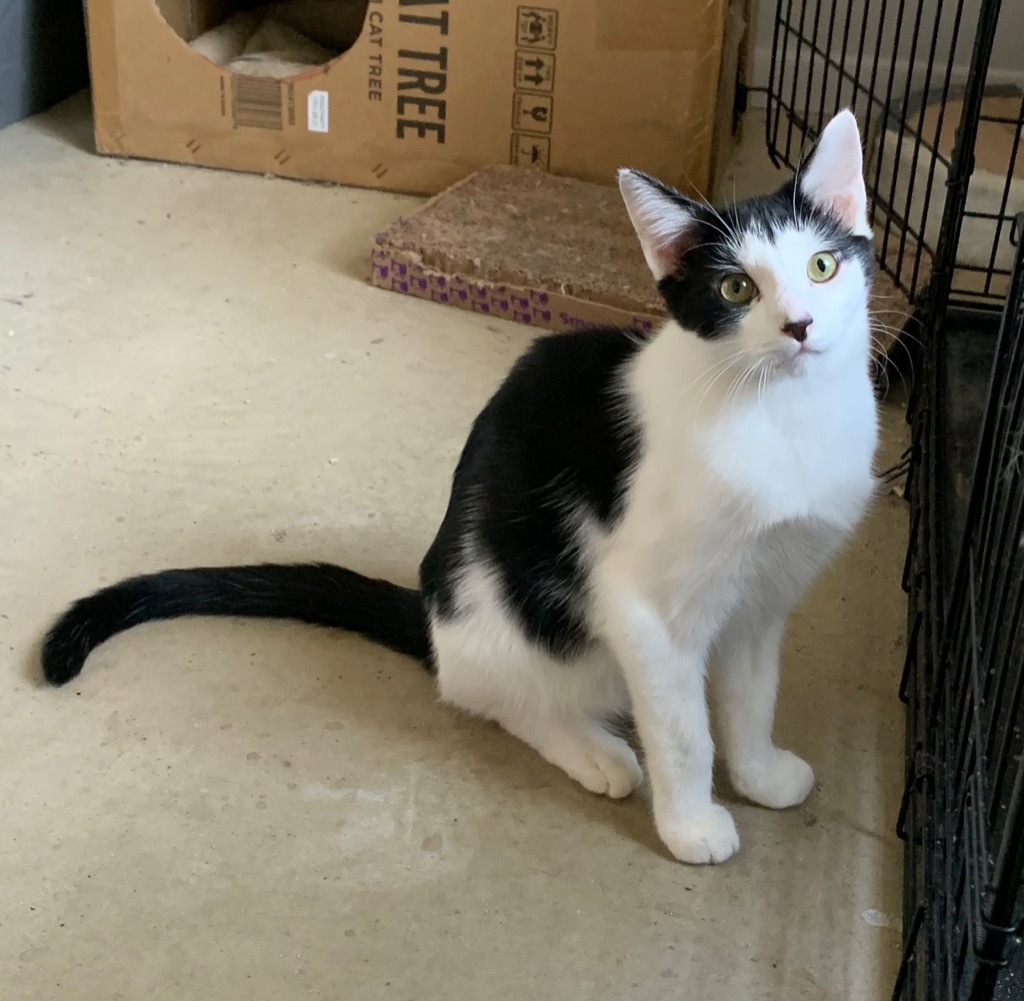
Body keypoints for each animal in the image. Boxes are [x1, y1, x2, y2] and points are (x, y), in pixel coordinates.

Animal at [41, 107, 880, 859]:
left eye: (822, 265)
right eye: (736, 289)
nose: (800, 325)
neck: (779, 415)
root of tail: (432, 611)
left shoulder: (763, 599)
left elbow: (751, 698)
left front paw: (761, 773)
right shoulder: (646, 610)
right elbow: (683, 730)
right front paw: (691, 826)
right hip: (510, 618)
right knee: (495, 694)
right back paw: (593, 750)